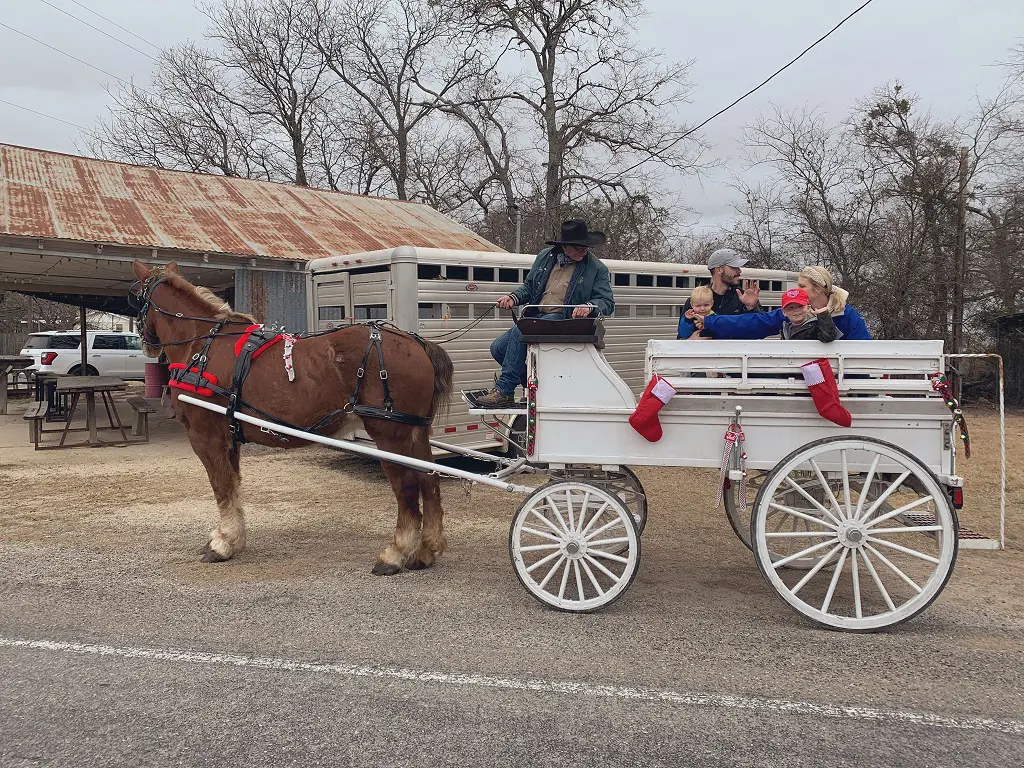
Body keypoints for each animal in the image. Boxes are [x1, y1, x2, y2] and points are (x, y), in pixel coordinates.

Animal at [131, 262, 456, 573]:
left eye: (136, 298)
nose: (145, 343)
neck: (202, 346)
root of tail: (415, 343)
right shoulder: (229, 438)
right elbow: (233, 487)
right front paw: (232, 538)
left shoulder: (206, 435)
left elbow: (221, 486)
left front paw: (221, 544)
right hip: (415, 431)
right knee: (430, 479)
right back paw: (426, 551)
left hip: (390, 433)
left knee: (407, 487)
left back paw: (397, 553)